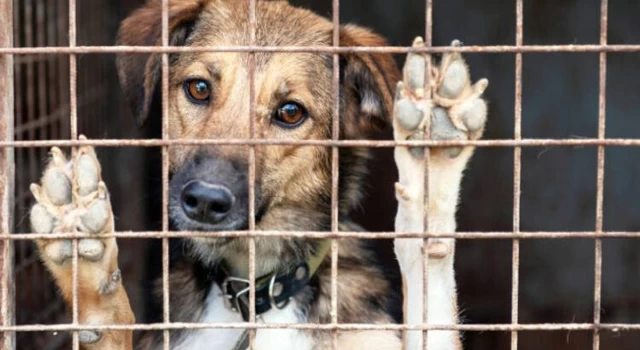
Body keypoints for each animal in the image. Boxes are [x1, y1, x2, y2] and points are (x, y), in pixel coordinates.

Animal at [28, 1, 490, 348]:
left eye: (290, 112)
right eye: (198, 88)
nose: (205, 201)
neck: (255, 297)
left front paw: (431, 161)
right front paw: (85, 260)